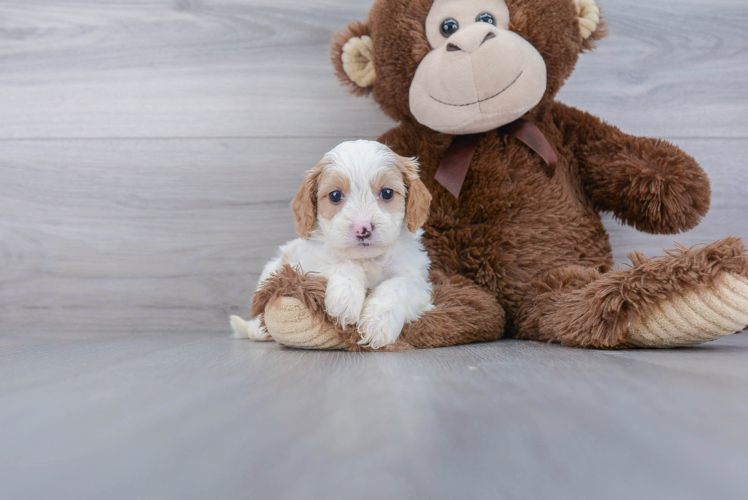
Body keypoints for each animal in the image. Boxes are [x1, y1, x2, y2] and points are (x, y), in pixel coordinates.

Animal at [231, 139, 436, 350]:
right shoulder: (306, 266)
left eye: (387, 193)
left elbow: (397, 285)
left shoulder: (417, 279)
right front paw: (345, 301)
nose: (362, 228)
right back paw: (256, 329)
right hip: (272, 269)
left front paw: (378, 323)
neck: (367, 259)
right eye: (335, 196)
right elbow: (343, 264)